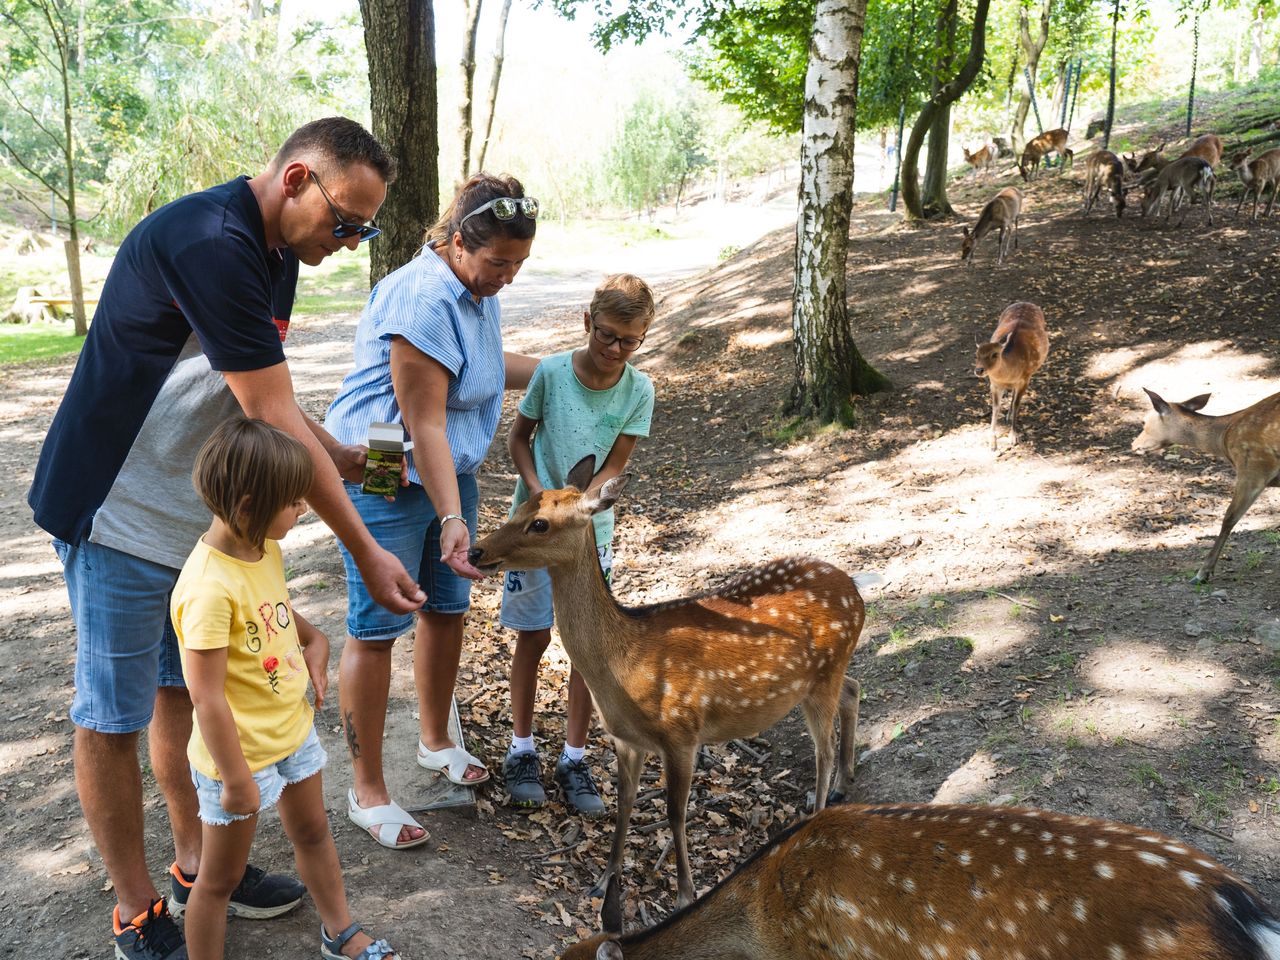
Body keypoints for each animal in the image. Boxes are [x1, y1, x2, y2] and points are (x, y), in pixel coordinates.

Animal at [465, 458, 875, 911]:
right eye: (520, 507)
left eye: (539, 523)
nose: (475, 551)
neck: (626, 663)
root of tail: (855, 587)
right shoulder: (626, 739)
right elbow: (624, 804)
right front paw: (604, 880)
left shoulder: (682, 732)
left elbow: (675, 813)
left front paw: (685, 894)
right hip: (823, 676)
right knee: (854, 690)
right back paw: (842, 786)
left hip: (822, 678)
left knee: (824, 750)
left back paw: (818, 812)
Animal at [972, 300, 1044, 450]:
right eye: (976, 355)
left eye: (995, 354)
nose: (979, 370)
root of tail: (1026, 302)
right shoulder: (994, 384)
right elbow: (995, 407)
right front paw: (992, 442)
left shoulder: (1025, 379)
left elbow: (1017, 404)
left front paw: (1013, 437)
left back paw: (1009, 416)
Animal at [1131, 386, 1280, 583]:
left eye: (1144, 421)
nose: (1134, 445)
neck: (1223, 438)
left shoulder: (1253, 468)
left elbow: (1229, 518)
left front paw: (1202, 573)